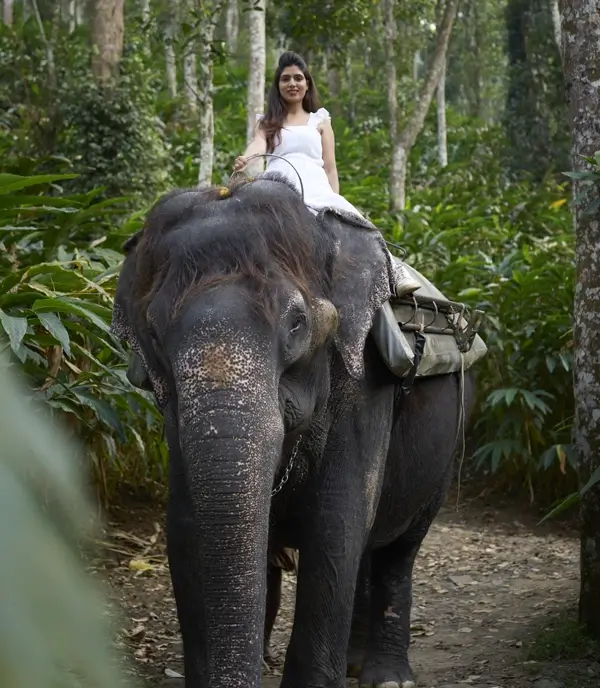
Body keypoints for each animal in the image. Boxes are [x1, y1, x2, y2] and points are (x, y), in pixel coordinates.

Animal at [111, 173, 476, 688]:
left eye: (298, 323)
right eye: (155, 334)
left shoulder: (363, 379)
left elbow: (336, 521)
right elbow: (184, 526)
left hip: (449, 445)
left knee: (397, 549)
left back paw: (385, 676)